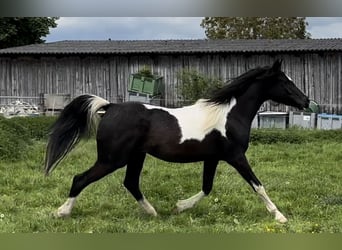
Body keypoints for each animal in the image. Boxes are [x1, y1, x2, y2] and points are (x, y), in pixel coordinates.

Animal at [44, 60, 310, 223]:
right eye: (285, 82)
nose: (306, 101)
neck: (228, 115)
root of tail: (111, 107)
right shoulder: (236, 156)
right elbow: (258, 185)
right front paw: (279, 216)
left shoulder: (213, 158)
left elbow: (207, 187)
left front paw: (179, 207)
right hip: (112, 159)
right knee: (80, 179)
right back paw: (62, 212)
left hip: (135, 156)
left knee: (131, 183)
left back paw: (153, 212)